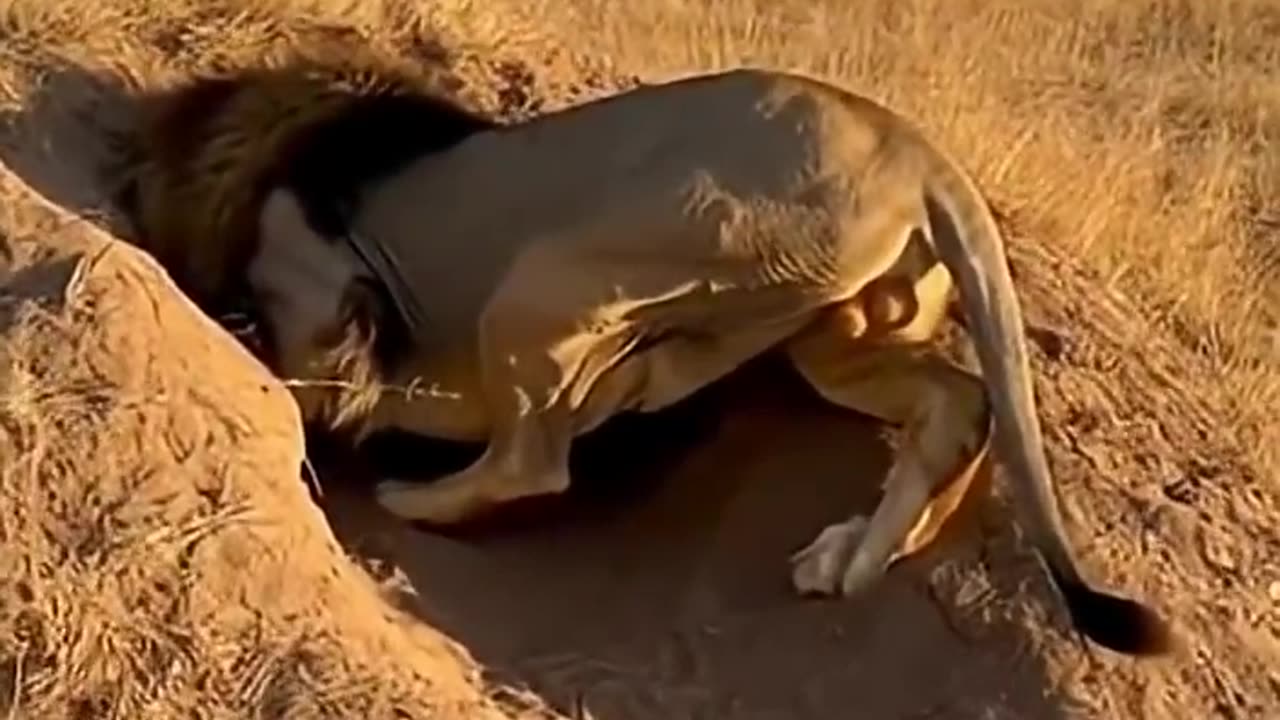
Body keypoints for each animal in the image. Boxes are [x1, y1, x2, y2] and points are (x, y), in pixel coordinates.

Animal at [134, 65, 1173, 658]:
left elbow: (324, 376)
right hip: (835, 332)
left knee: (536, 460)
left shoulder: (348, 297)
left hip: (565, 275)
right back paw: (848, 559)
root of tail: (920, 151)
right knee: (957, 406)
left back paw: (420, 498)